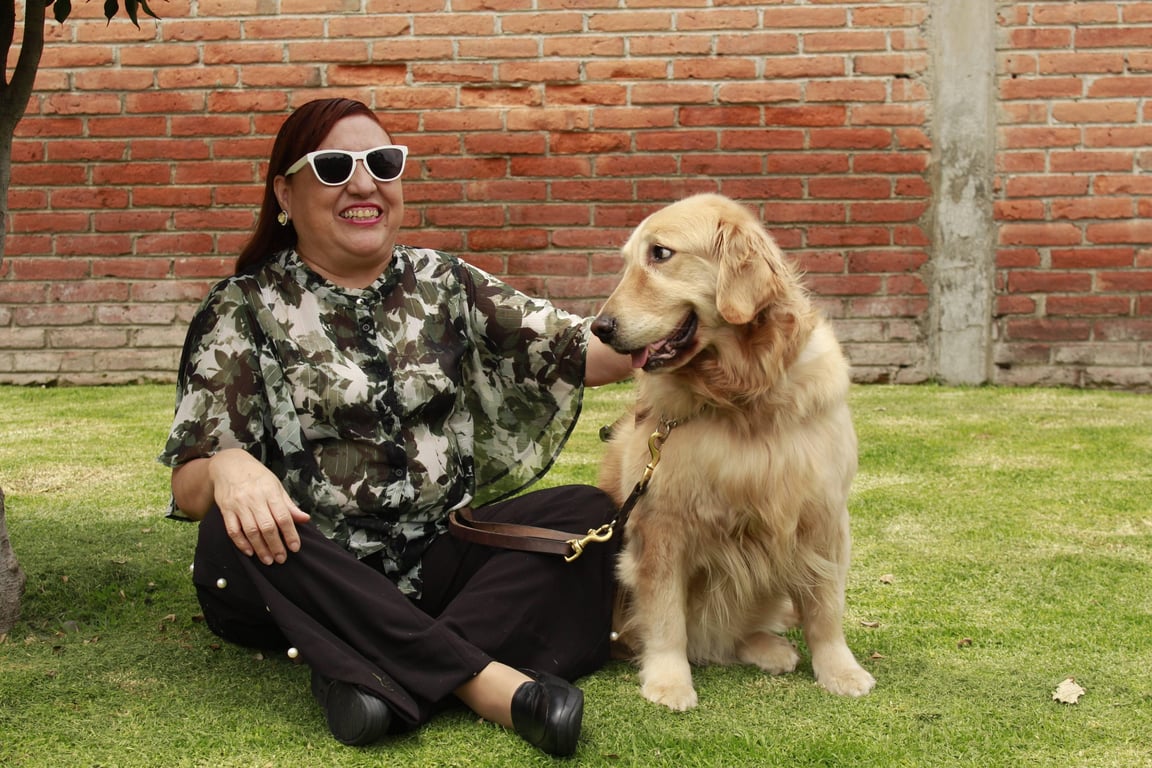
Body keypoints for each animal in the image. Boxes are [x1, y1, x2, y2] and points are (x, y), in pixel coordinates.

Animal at [594, 195, 870, 713]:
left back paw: (770, 648)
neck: (741, 395)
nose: (599, 328)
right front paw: (668, 681)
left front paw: (839, 670)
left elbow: (826, 605)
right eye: (625, 261)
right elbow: (665, 614)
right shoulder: (660, 523)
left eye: (660, 254)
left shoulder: (822, 513)